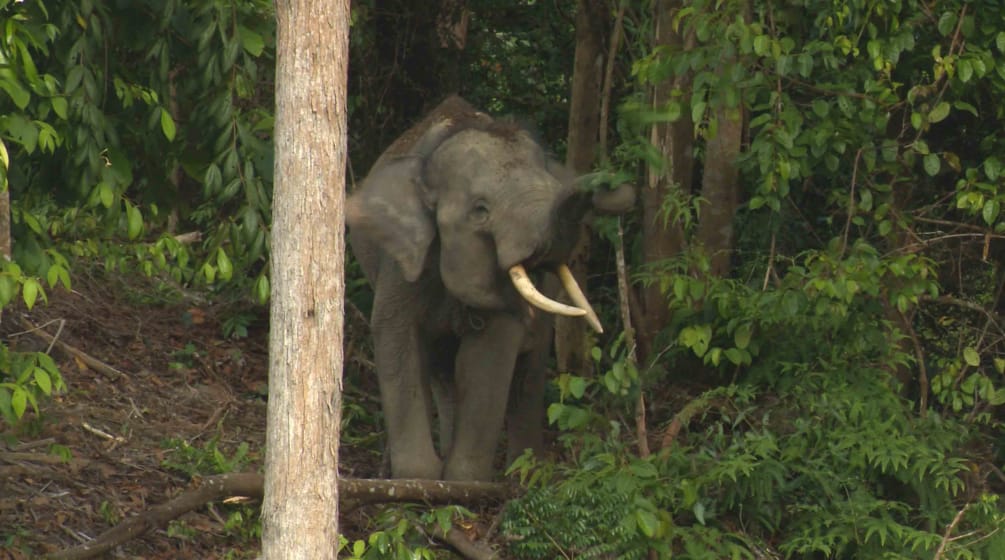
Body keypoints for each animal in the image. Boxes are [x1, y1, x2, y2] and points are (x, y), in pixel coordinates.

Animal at [345, 96, 627, 480]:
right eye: (480, 210)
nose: (616, 186)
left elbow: (489, 356)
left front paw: (464, 481)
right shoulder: (401, 261)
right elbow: (396, 335)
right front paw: (419, 478)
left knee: (528, 374)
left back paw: (524, 475)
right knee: (442, 370)